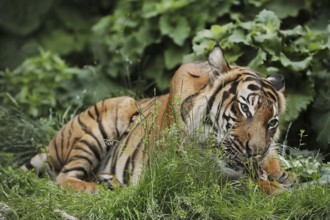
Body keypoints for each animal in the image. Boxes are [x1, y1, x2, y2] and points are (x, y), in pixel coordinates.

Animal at [21, 45, 292, 193]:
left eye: (272, 122)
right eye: (244, 108)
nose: (255, 152)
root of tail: (51, 145)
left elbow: (276, 170)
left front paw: (282, 179)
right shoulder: (192, 173)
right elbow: (246, 184)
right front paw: (277, 190)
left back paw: (110, 182)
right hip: (115, 112)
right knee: (63, 177)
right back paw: (93, 189)